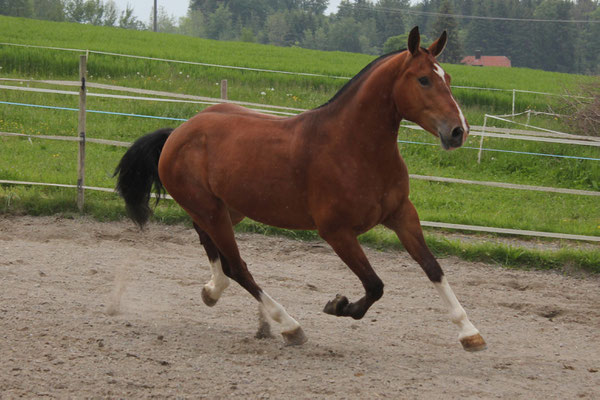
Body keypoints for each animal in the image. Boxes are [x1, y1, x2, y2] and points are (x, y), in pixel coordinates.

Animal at [113, 28, 488, 352]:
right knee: (239, 267)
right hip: (211, 211)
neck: (355, 148)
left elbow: (433, 268)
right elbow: (375, 285)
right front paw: (339, 305)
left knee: (212, 248)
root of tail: (177, 133)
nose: (459, 131)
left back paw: (214, 292)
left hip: (225, 210)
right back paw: (289, 326)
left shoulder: (401, 215)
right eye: (423, 79)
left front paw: (470, 333)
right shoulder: (336, 231)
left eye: (447, 79)